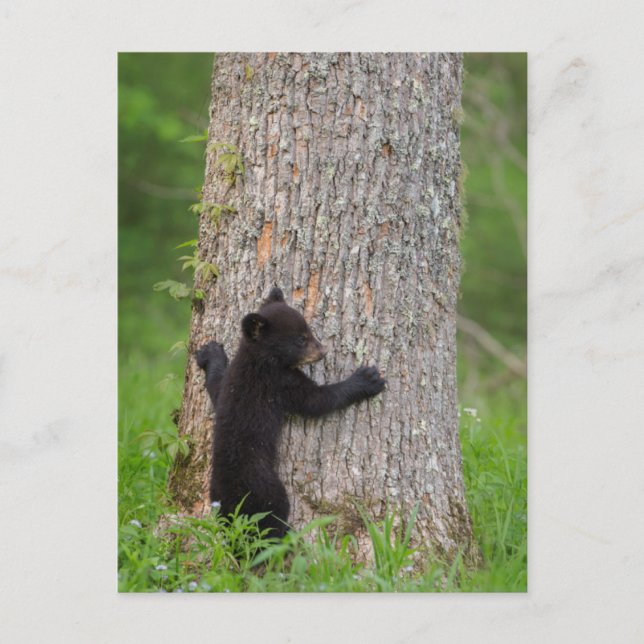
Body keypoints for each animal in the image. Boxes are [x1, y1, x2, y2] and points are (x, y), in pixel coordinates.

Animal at [195, 286, 386, 539]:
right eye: (301, 339)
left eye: (309, 330)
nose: (323, 351)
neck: (259, 359)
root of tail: (232, 505)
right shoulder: (280, 383)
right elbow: (317, 401)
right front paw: (366, 379)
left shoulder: (230, 383)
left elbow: (216, 386)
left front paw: (210, 353)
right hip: (267, 490)